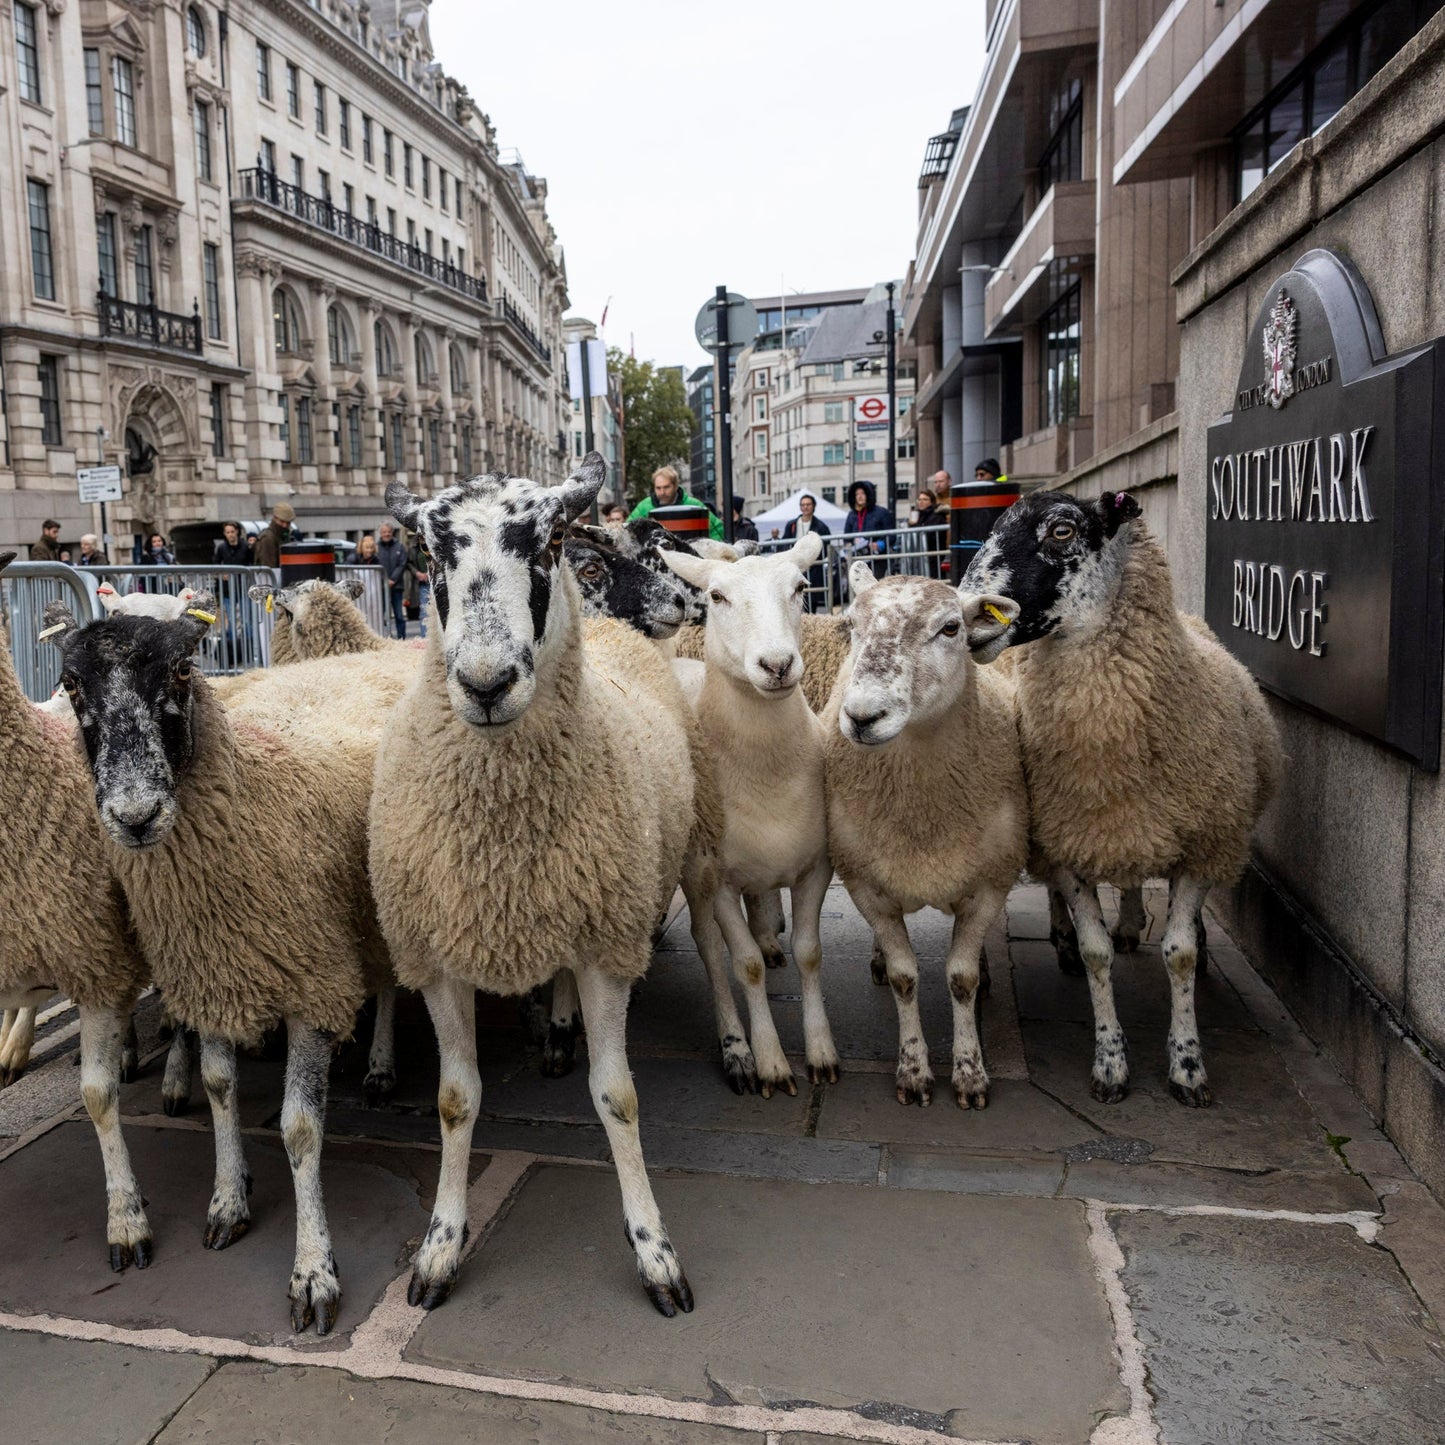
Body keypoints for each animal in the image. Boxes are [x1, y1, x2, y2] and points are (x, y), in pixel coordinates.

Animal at [47, 611, 411, 1334]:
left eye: (183, 669)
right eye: (71, 685)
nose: (135, 816)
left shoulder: (312, 976)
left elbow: (300, 1127)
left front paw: (313, 1271)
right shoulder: (214, 970)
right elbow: (219, 1086)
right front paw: (227, 1200)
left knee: (384, 985)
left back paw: (381, 1065)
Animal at [370, 455, 702, 1317]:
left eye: (548, 542)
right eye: (427, 554)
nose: (485, 683)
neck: (505, 840)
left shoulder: (604, 942)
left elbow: (617, 1096)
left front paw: (655, 1249)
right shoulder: (438, 953)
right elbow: (455, 1101)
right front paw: (439, 1247)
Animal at [660, 534, 841, 1098]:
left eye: (801, 587)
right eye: (716, 597)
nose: (778, 664)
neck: (766, 773)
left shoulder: (816, 867)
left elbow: (810, 952)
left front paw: (821, 1053)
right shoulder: (717, 879)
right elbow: (744, 966)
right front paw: (770, 1061)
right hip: (695, 870)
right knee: (707, 945)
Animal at [822, 565, 1027, 1107]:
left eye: (951, 628)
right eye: (851, 625)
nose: (862, 717)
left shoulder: (989, 882)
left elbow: (961, 977)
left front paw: (970, 1072)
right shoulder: (866, 885)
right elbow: (904, 977)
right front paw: (913, 1072)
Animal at [964, 489, 1281, 1106]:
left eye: (1062, 531)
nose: (966, 619)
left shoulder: (1201, 844)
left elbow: (1178, 955)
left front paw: (1187, 1067)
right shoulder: (1070, 843)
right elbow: (1096, 953)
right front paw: (1110, 1064)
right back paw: (1078, 937)